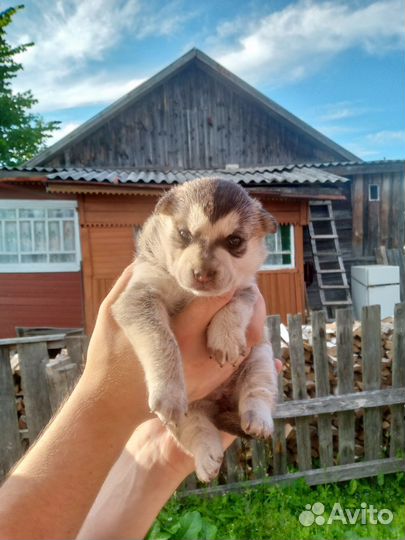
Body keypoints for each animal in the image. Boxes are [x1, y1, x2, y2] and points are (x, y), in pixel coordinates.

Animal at [113, 178, 278, 480]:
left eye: (234, 241)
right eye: (184, 233)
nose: (202, 273)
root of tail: (219, 402)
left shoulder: (248, 288)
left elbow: (237, 303)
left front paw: (225, 338)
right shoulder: (139, 295)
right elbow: (161, 339)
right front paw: (169, 391)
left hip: (261, 358)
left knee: (258, 390)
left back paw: (258, 419)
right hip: (184, 417)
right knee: (195, 428)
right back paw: (206, 457)